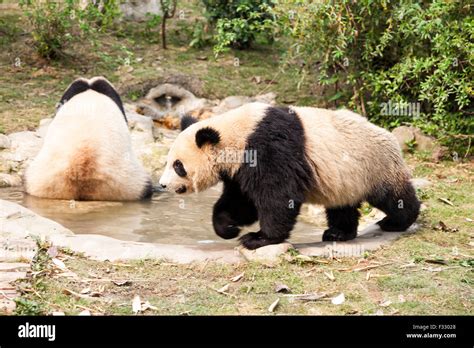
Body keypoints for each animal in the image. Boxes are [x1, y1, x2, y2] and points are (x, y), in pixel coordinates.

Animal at [158, 102, 418, 249]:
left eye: (178, 166)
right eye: (168, 161)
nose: (162, 185)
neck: (236, 133)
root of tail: (390, 137)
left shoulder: (266, 148)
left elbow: (278, 196)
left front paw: (258, 239)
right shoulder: (239, 167)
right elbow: (241, 202)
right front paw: (228, 227)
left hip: (374, 166)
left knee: (393, 196)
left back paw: (397, 221)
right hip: (345, 178)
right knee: (341, 205)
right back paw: (338, 232)